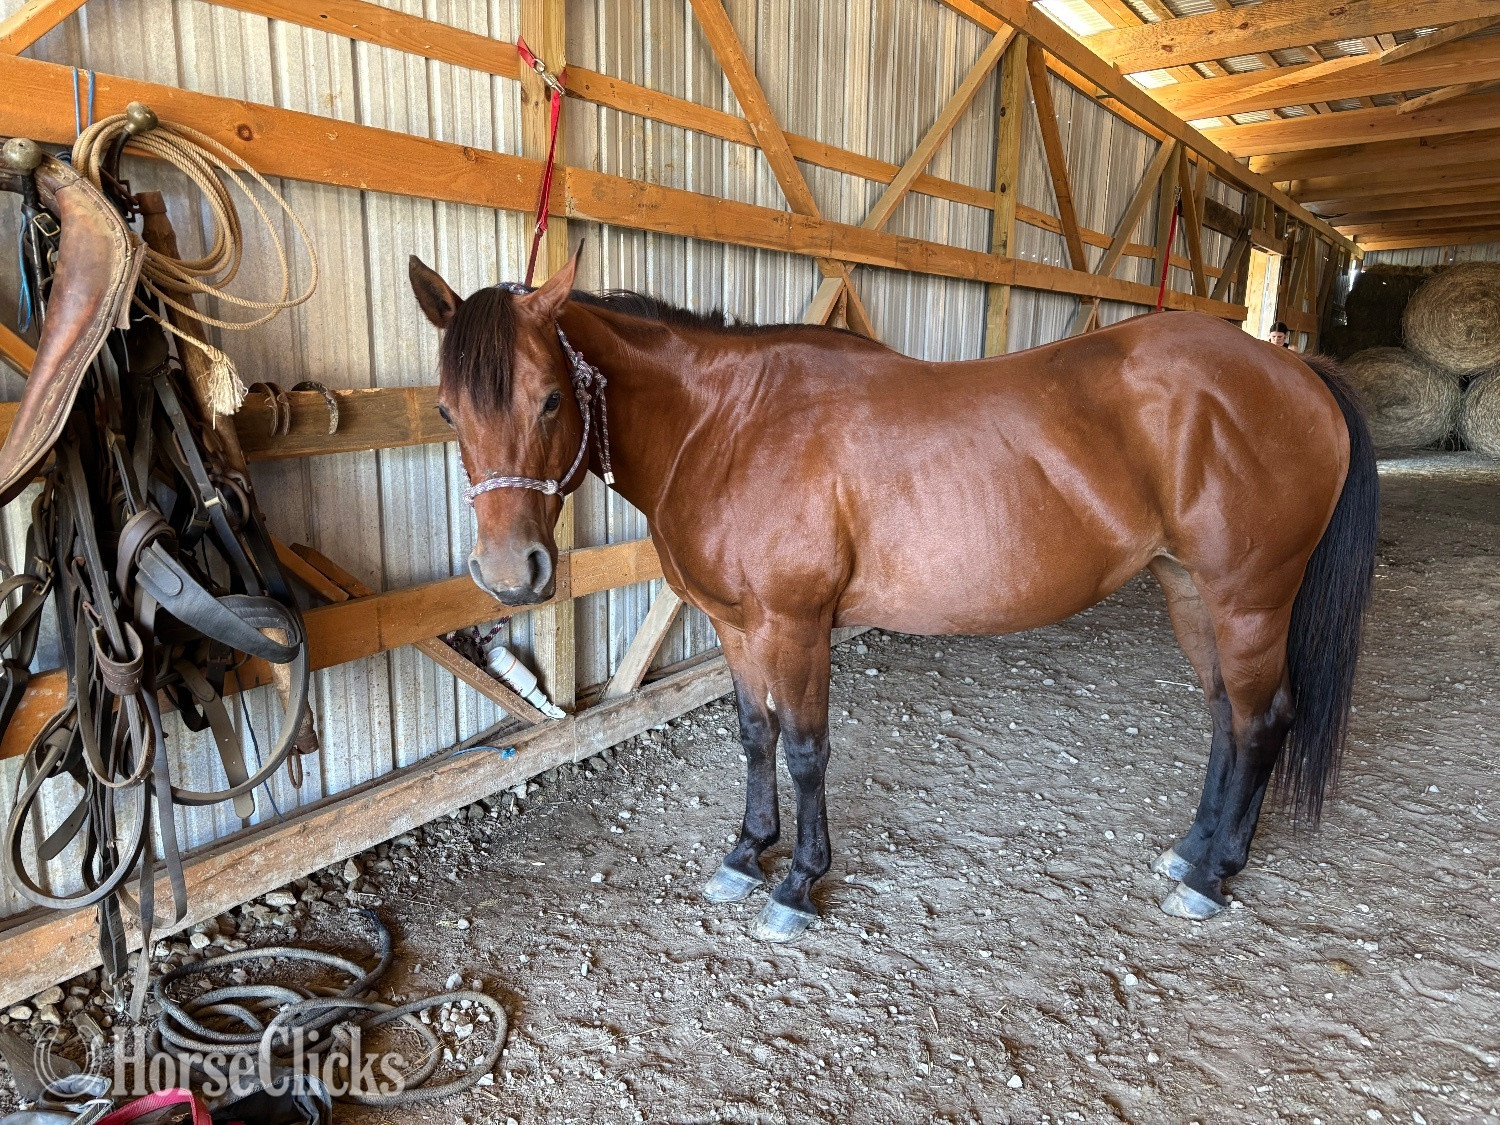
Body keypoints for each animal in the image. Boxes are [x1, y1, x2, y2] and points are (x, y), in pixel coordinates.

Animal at [408, 248, 1377, 943]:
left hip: (1248, 598)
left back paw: (1213, 876)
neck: (725, 421)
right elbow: (753, 735)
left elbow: (805, 749)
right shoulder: (735, 625)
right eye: (449, 410)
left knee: (1261, 719)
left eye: (550, 399)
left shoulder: (796, 625)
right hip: (1189, 589)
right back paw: (1195, 852)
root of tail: (1298, 373)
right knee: (1225, 715)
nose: (510, 573)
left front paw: (798, 884)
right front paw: (745, 854)